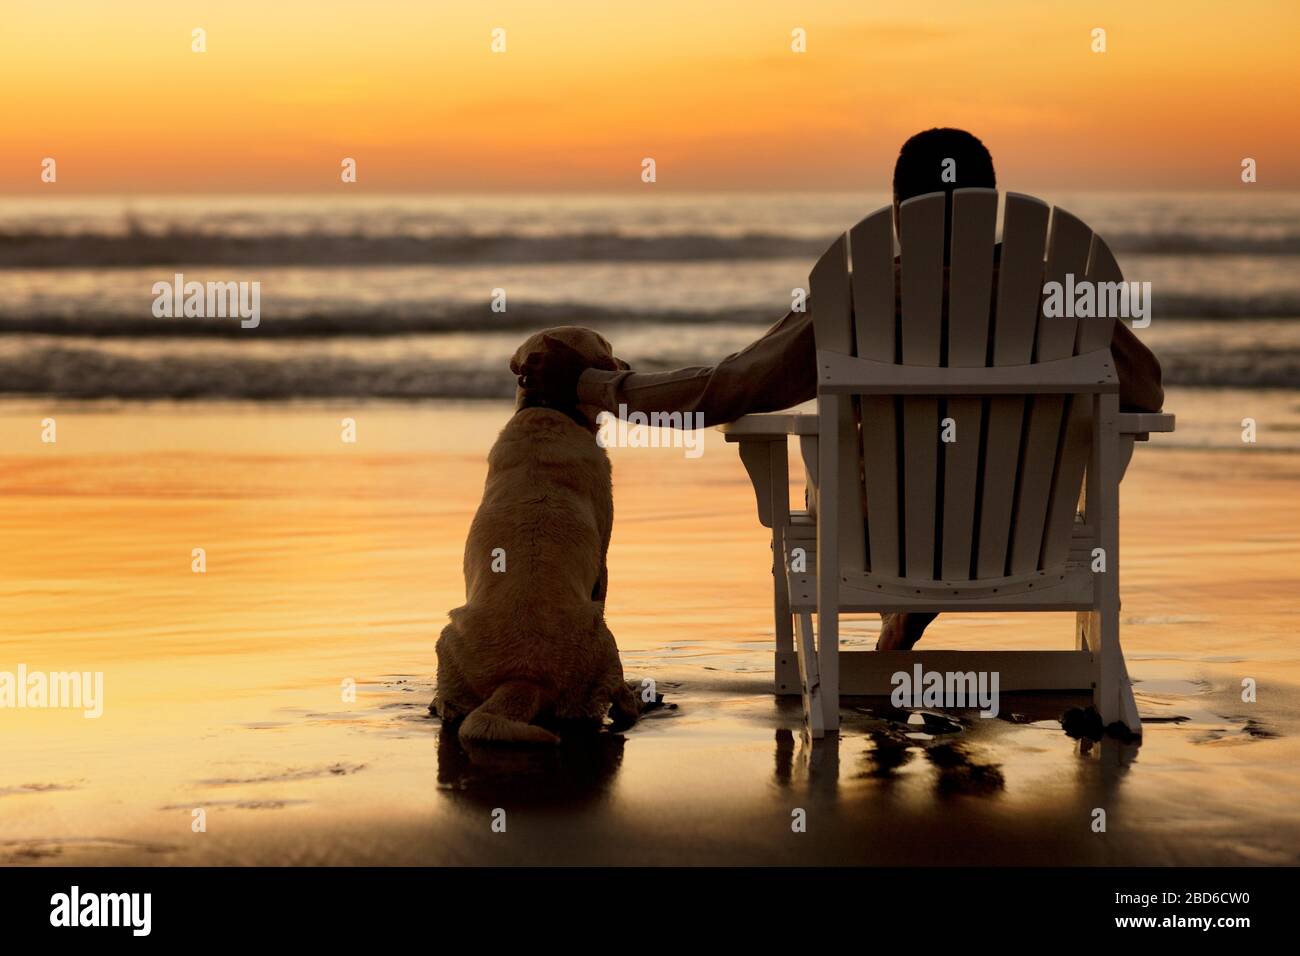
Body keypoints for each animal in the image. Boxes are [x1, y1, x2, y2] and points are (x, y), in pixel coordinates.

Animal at [434, 329, 642, 749]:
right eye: (609, 350)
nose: (628, 367)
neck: (549, 411)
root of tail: (524, 677)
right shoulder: (604, 557)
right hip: (602, 635)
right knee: (615, 693)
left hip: (448, 637)